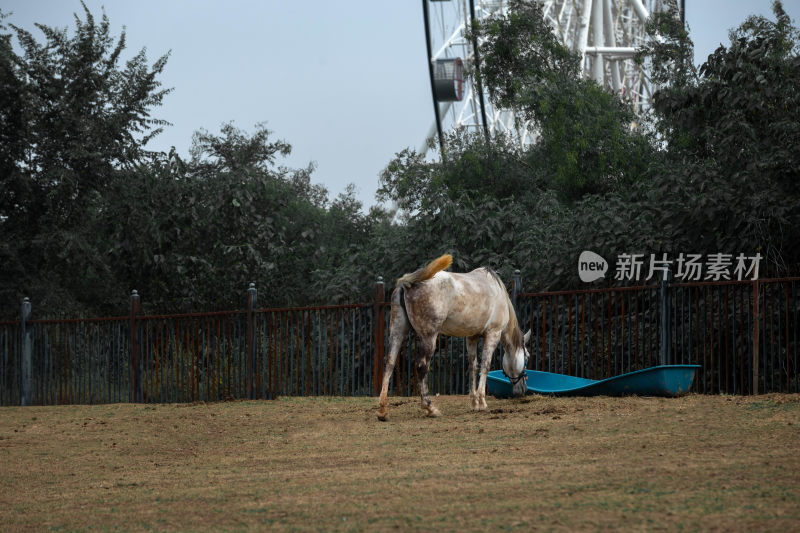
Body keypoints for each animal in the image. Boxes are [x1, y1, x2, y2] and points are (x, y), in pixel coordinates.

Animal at [376, 254, 532, 420]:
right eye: (527, 357)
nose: (523, 389)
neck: (497, 291)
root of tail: (408, 284)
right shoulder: (493, 334)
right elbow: (485, 365)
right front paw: (482, 402)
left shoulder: (472, 338)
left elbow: (473, 367)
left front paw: (474, 403)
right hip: (429, 337)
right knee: (422, 366)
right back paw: (430, 407)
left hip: (397, 332)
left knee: (389, 363)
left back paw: (382, 410)